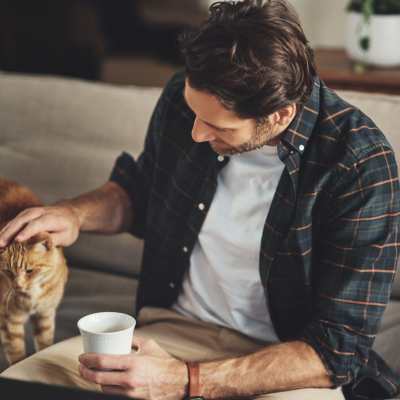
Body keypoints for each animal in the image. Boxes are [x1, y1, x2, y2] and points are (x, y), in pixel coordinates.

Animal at [0, 178, 68, 366]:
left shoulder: (45, 314)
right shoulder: (9, 320)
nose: (17, 286)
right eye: (8, 272)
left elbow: (45, 345)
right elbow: (16, 353)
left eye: (29, 271)